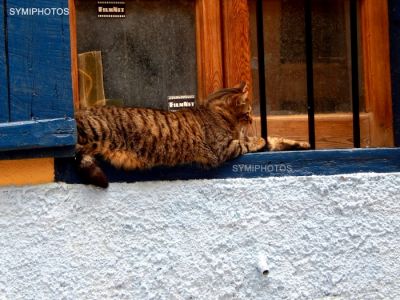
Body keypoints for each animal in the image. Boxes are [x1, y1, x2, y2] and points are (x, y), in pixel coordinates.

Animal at [75, 82, 310, 188]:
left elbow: (276, 140)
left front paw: (302, 144)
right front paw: (257, 139)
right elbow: (247, 143)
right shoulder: (223, 148)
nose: (252, 119)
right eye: (249, 111)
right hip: (91, 131)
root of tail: (80, 110)